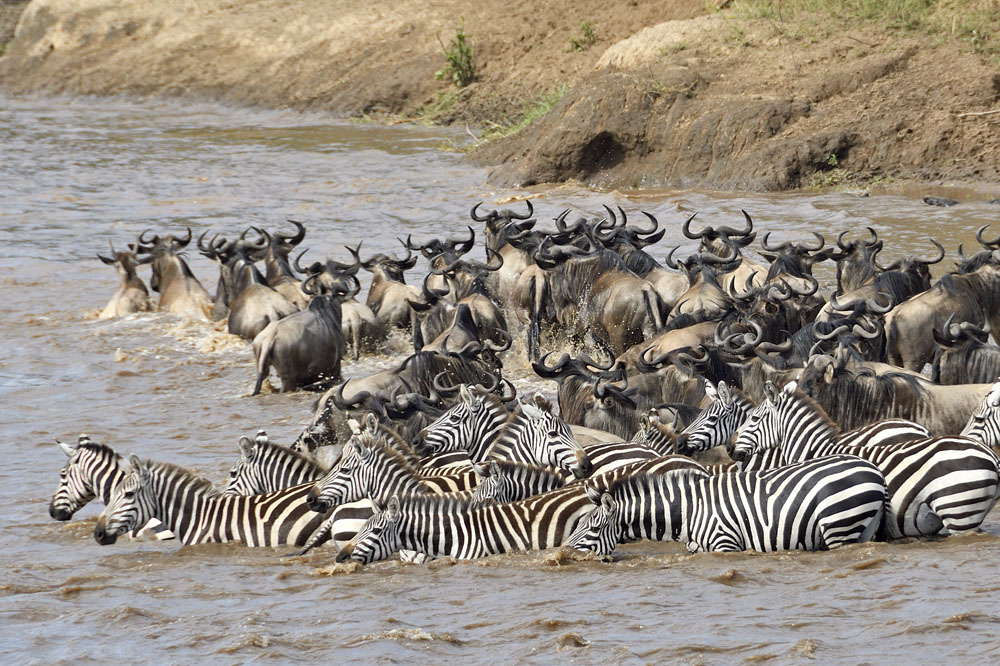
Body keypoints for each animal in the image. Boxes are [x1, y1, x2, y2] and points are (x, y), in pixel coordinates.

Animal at [565, 455, 889, 555]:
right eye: (578, 523)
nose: (562, 554)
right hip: (863, 527)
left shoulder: (725, 543)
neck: (688, 511)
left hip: (839, 524)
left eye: (593, 528)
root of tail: (874, 470)